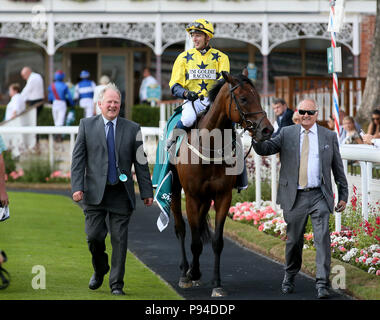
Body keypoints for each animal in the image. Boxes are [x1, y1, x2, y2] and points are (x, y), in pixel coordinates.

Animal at [170, 70, 274, 298]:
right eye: (243, 99)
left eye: (258, 96)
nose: (267, 130)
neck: (209, 147)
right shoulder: (191, 197)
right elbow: (193, 239)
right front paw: (190, 275)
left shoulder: (222, 196)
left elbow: (216, 241)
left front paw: (216, 283)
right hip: (174, 190)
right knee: (181, 228)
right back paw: (184, 270)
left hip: (205, 198)